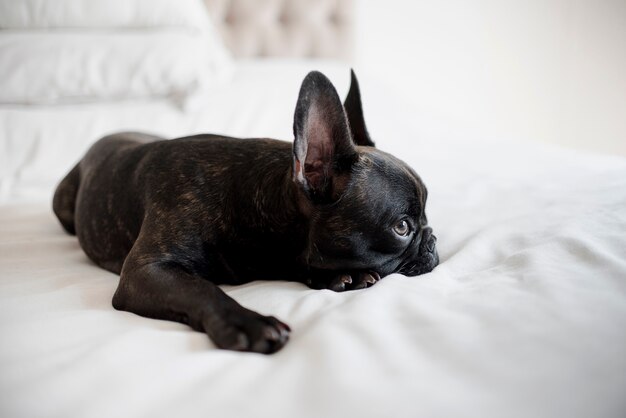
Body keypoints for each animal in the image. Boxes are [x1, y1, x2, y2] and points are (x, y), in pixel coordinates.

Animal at [53, 71, 436, 352]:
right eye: (402, 227)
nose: (432, 238)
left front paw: (342, 276)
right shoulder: (145, 271)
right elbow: (200, 289)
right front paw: (250, 322)